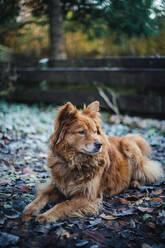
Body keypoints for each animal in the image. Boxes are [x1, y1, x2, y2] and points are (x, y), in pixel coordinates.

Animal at [23, 101, 163, 223]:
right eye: (81, 132)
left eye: (95, 131)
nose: (99, 144)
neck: (74, 162)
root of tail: (125, 137)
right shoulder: (57, 185)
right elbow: (43, 196)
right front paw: (31, 208)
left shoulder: (87, 196)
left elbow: (63, 205)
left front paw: (46, 216)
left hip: (129, 146)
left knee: (148, 173)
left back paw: (135, 182)